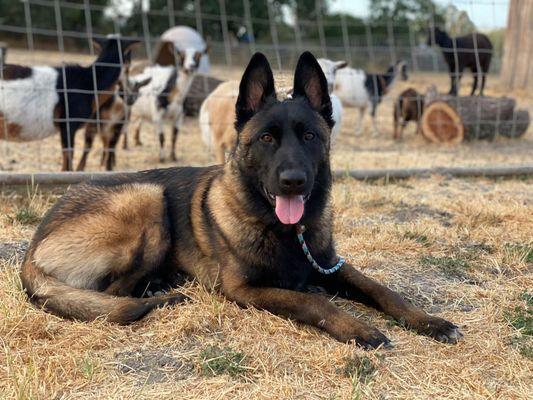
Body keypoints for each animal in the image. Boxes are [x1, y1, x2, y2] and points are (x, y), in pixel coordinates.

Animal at [20, 52, 462, 346]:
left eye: (309, 136)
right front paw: (356, 327)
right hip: (147, 197)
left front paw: (428, 321)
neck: (287, 233)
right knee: (114, 294)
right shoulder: (245, 290)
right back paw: (161, 287)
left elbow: (382, 289)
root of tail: (33, 247)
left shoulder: (332, 265)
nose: (292, 182)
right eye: (266, 138)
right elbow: (312, 303)